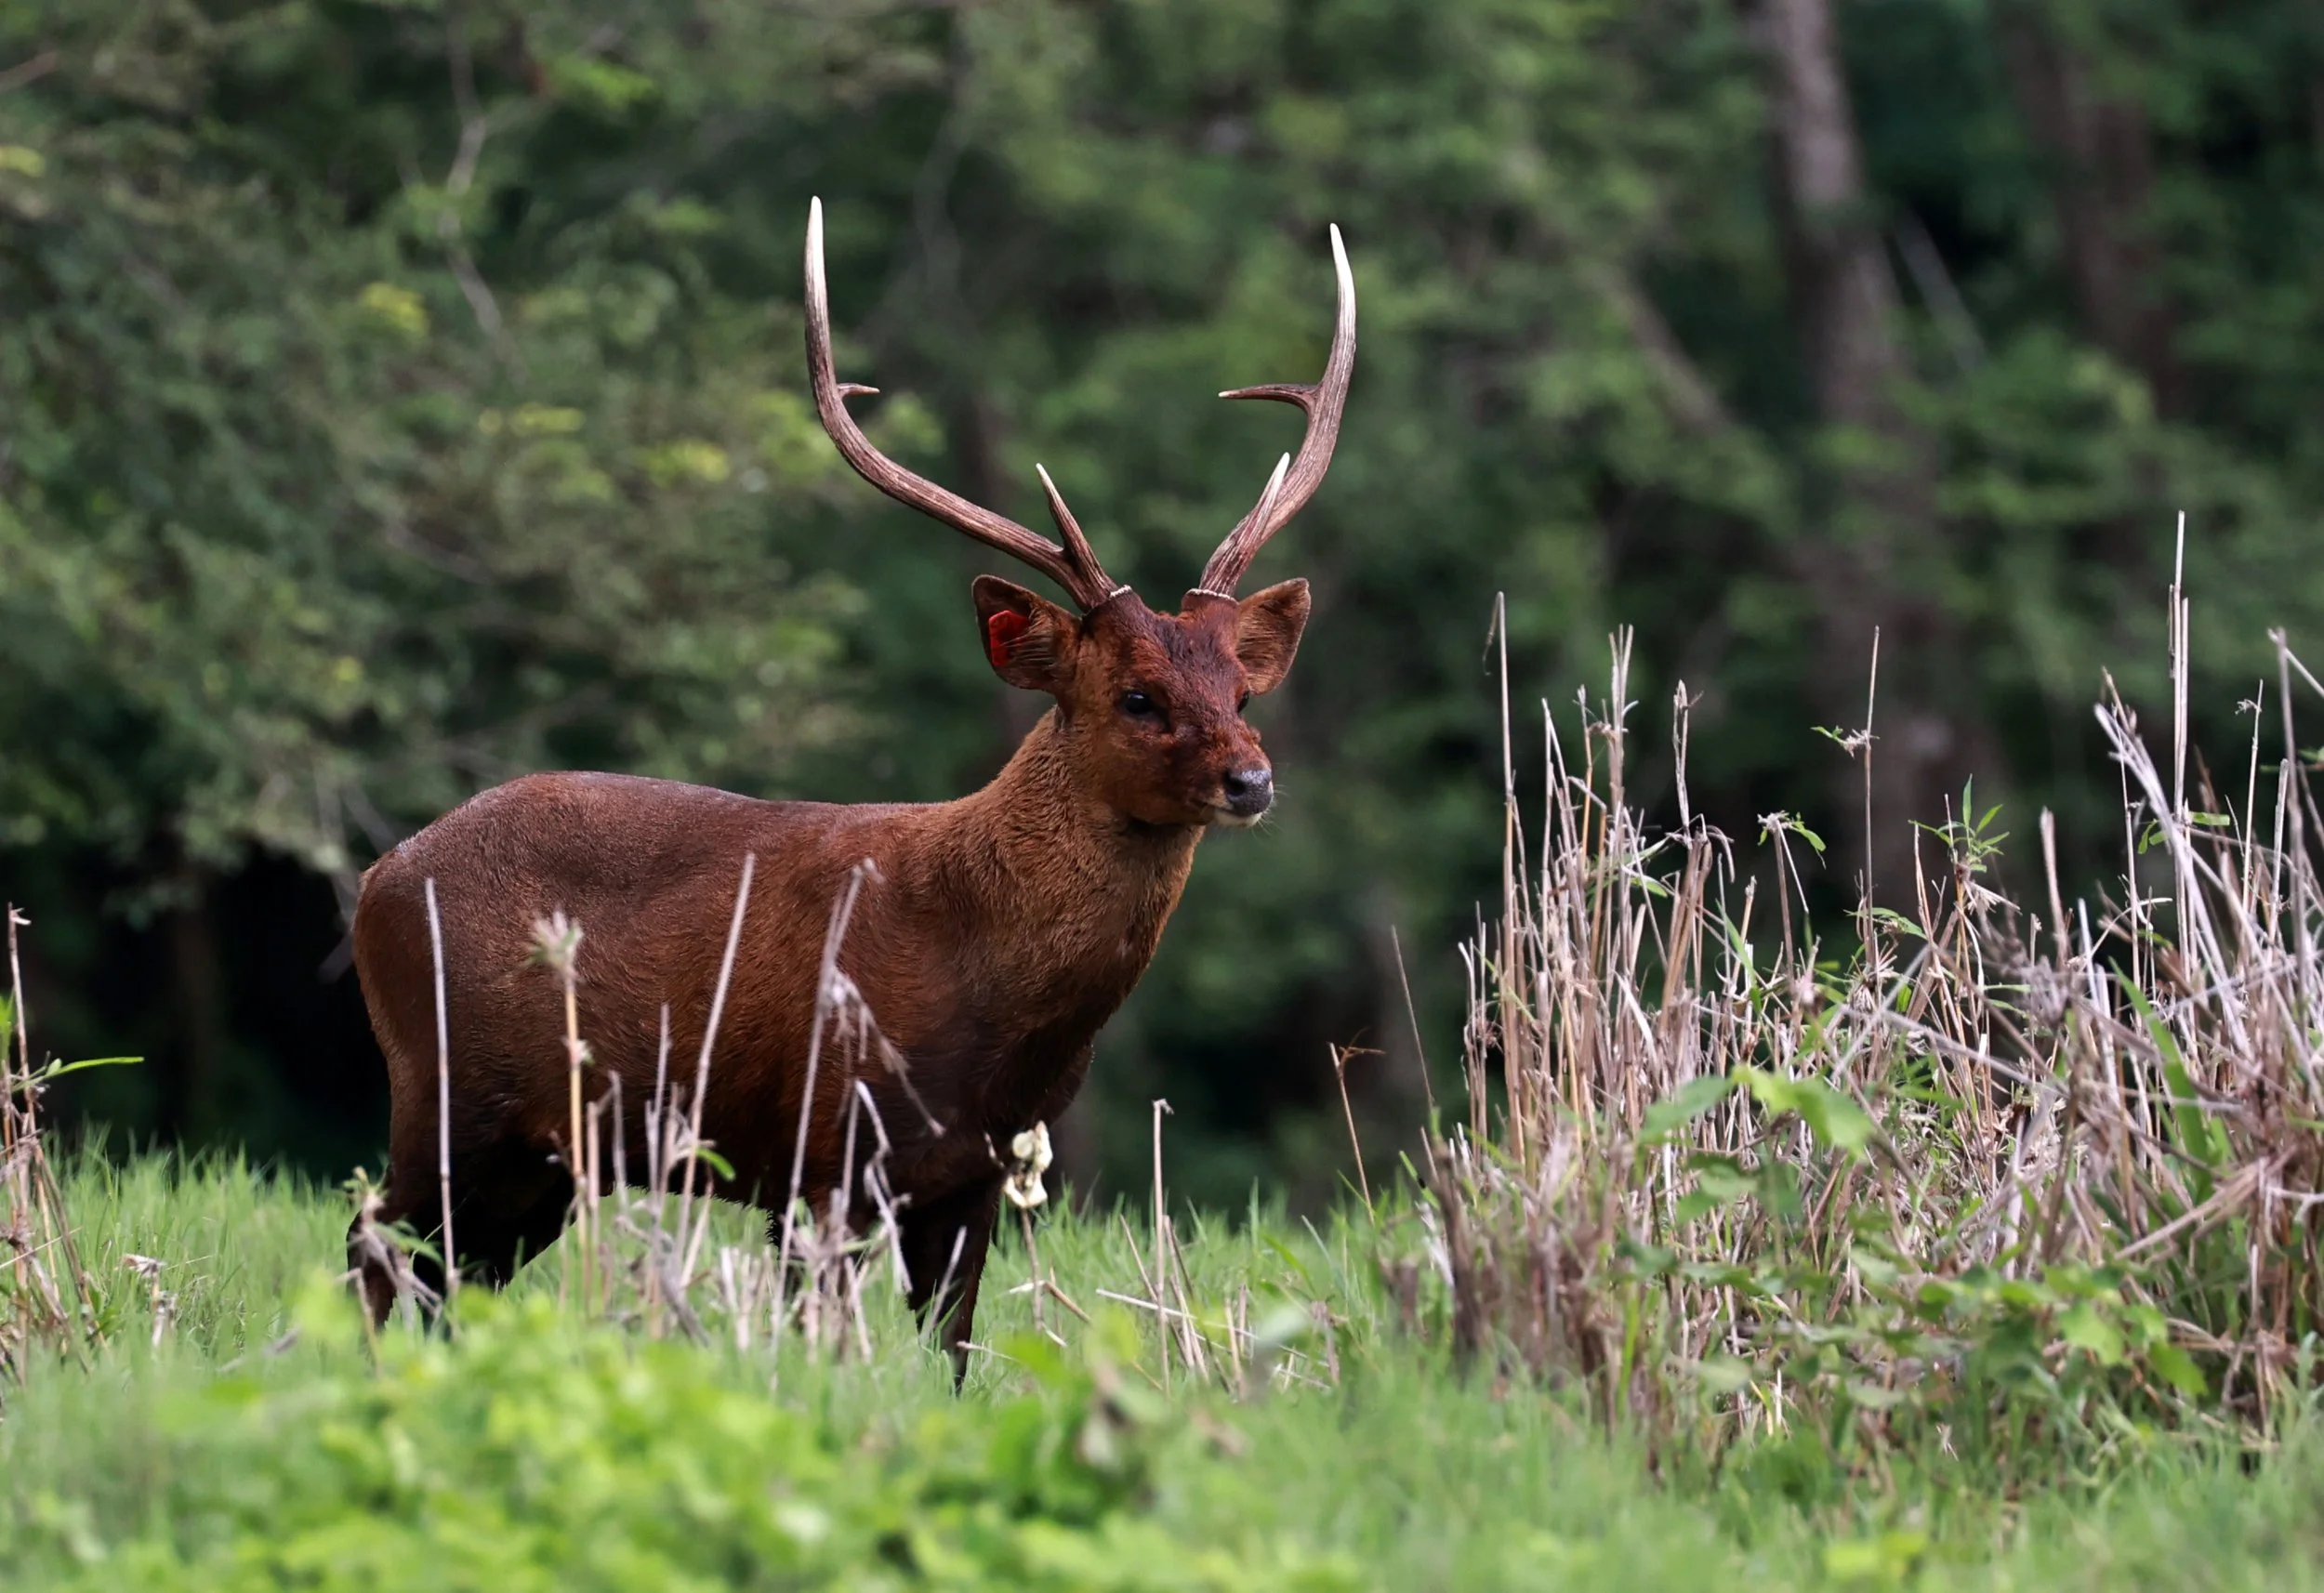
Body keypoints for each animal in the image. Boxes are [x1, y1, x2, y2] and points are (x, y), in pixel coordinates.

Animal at [348, 199, 1355, 1371]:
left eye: (1240, 686)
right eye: (1138, 695)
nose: (1252, 778)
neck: (983, 992)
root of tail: (375, 878)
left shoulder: (978, 1173)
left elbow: (952, 1351)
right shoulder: (816, 1144)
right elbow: (814, 1341)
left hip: (539, 1159)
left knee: (442, 1277)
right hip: (446, 1091)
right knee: (372, 1241)